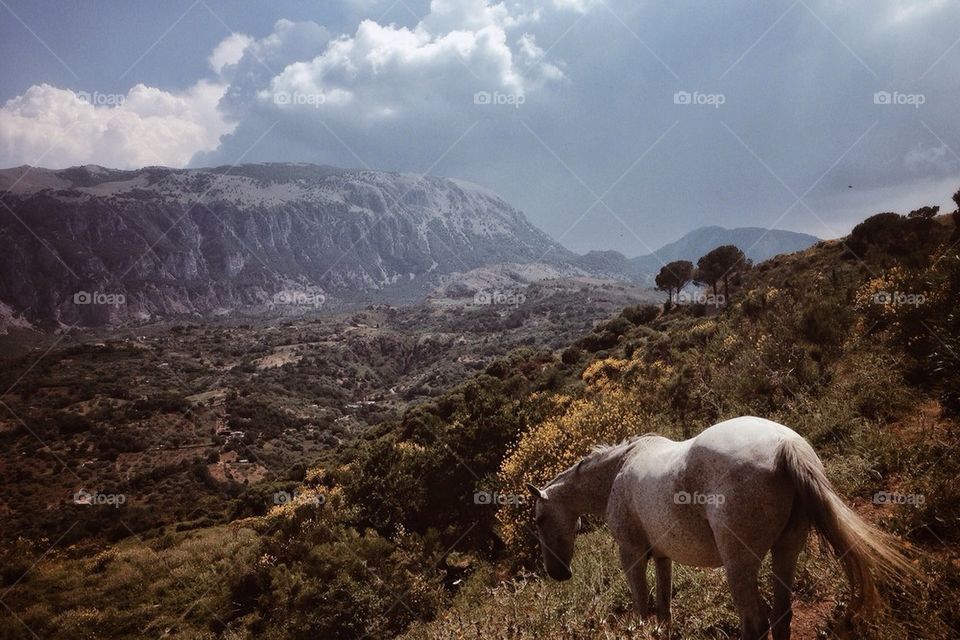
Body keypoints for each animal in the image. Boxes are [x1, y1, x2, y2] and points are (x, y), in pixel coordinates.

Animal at [525, 416, 914, 640]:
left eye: (539, 520)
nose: (558, 573)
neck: (620, 469)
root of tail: (785, 445)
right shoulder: (662, 557)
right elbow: (664, 610)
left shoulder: (631, 555)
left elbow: (642, 608)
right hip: (786, 550)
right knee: (781, 615)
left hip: (738, 563)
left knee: (755, 622)